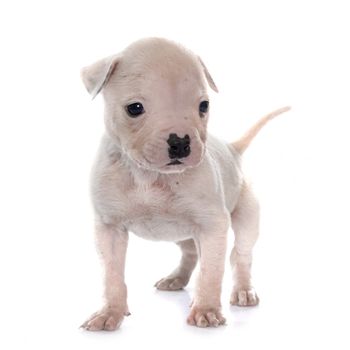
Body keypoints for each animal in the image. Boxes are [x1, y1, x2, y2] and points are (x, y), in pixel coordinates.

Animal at [80, 38, 290, 330]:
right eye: (134, 108)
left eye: (204, 106)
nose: (180, 142)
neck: (150, 177)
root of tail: (232, 149)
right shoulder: (109, 229)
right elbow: (111, 276)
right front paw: (109, 312)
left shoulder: (213, 226)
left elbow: (211, 271)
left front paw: (206, 310)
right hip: (180, 232)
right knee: (191, 252)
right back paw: (176, 278)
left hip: (246, 217)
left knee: (240, 254)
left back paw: (243, 290)